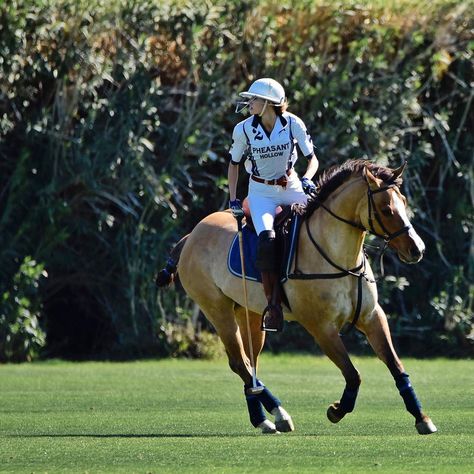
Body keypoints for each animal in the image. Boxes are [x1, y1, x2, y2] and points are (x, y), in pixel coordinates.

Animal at [158, 161, 436, 436]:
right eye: (387, 209)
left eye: (404, 202)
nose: (418, 249)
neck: (339, 257)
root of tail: (192, 234)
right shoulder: (321, 328)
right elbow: (353, 374)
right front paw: (337, 410)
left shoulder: (372, 317)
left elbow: (396, 366)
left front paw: (422, 418)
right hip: (217, 310)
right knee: (239, 363)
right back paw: (279, 413)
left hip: (250, 313)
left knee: (250, 362)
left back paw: (263, 420)